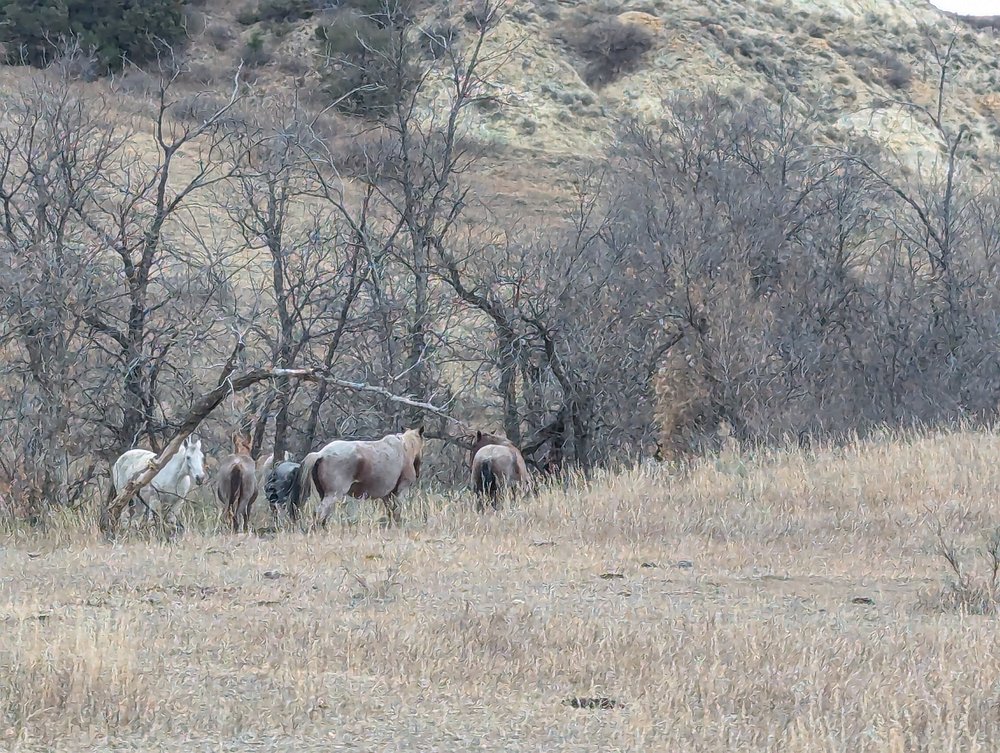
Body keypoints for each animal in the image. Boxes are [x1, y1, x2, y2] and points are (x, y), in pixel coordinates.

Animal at [294, 426, 424, 524]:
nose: (418, 472)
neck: (404, 448)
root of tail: (321, 454)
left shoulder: (387, 495)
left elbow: (391, 511)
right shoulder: (401, 490)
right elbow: (397, 511)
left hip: (324, 494)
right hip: (334, 494)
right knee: (320, 513)